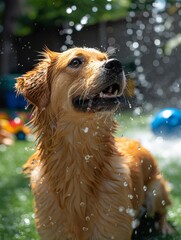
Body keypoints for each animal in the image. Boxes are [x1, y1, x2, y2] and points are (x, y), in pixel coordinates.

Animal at [16, 47, 173, 240]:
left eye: (104, 58)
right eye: (75, 62)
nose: (116, 64)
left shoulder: (112, 227)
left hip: (156, 190)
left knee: (162, 211)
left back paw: (165, 228)